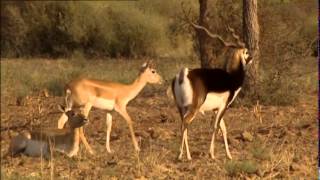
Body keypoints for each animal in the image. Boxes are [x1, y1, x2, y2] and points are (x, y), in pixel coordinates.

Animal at [171, 23, 254, 160]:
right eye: (246, 52)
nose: (252, 58)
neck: (232, 78)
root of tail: (184, 74)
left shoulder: (215, 109)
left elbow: (223, 129)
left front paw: (229, 155)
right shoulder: (224, 107)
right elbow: (216, 127)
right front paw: (212, 154)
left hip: (181, 108)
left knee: (183, 124)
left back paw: (188, 155)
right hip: (194, 108)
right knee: (185, 123)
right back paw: (180, 155)